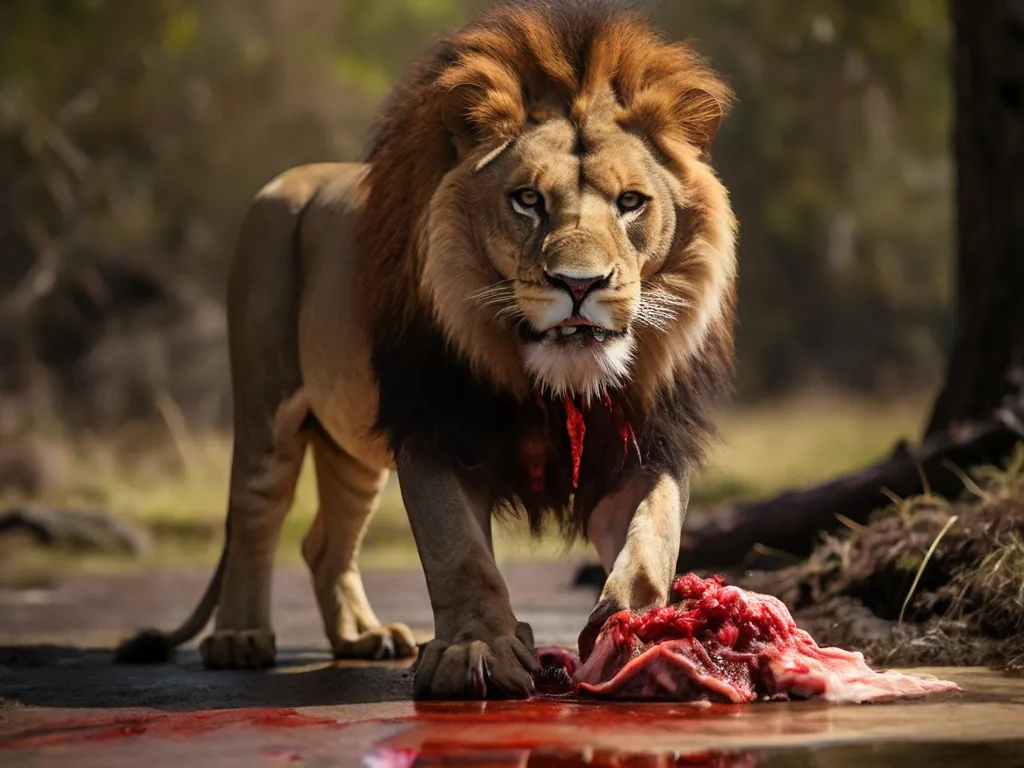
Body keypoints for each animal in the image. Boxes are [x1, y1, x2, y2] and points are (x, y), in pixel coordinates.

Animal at [116, 0, 741, 704]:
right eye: (528, 200)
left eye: (631, 203)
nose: (578, 284)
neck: (553, 385)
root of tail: (295, 178)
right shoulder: (436, 429)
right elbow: (458, 554)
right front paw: (475, 650)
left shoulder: (645, 442)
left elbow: (652, 538)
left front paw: (638, 630)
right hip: (266, 400)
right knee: (255, 513)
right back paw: (239, 638)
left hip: (352, 447)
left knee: (325, 541)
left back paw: (363, 636)